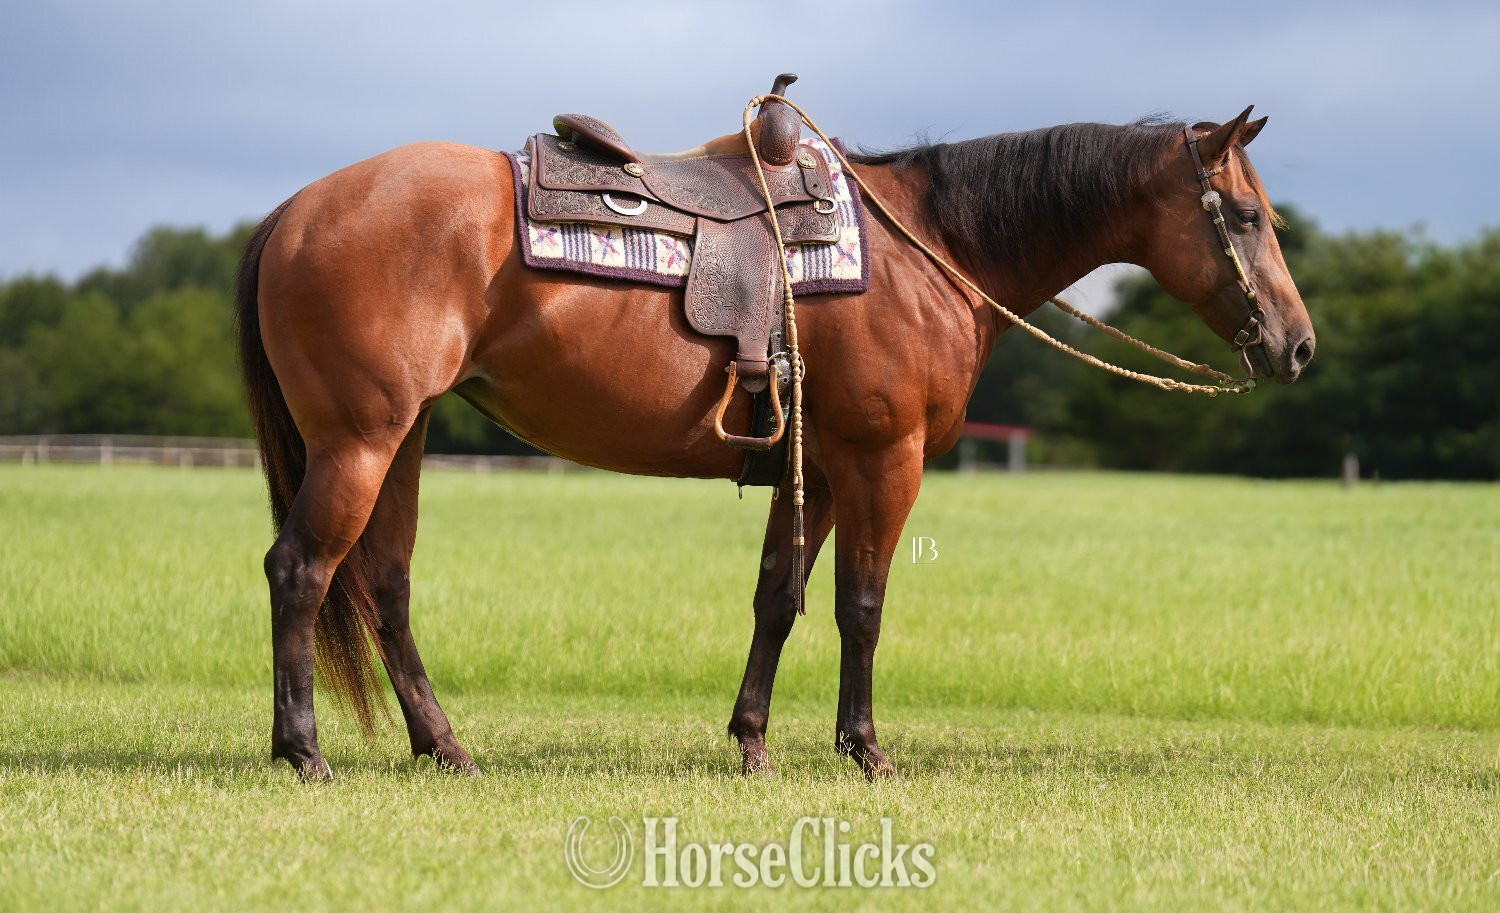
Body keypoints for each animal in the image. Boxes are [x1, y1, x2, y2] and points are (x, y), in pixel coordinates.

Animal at [235, 104, 1315, 780]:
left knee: (382, 585)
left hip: (403, 437)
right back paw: (304, 749)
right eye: (1246, 215)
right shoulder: (885, 461)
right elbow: (861, 608)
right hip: (360, 440)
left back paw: (444, 746)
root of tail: (294, 210)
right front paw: (865, 747)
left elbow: (778, 599)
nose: (1298, 344)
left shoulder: (824, 470)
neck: (933, 250)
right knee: (300, 569)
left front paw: (752, 740)